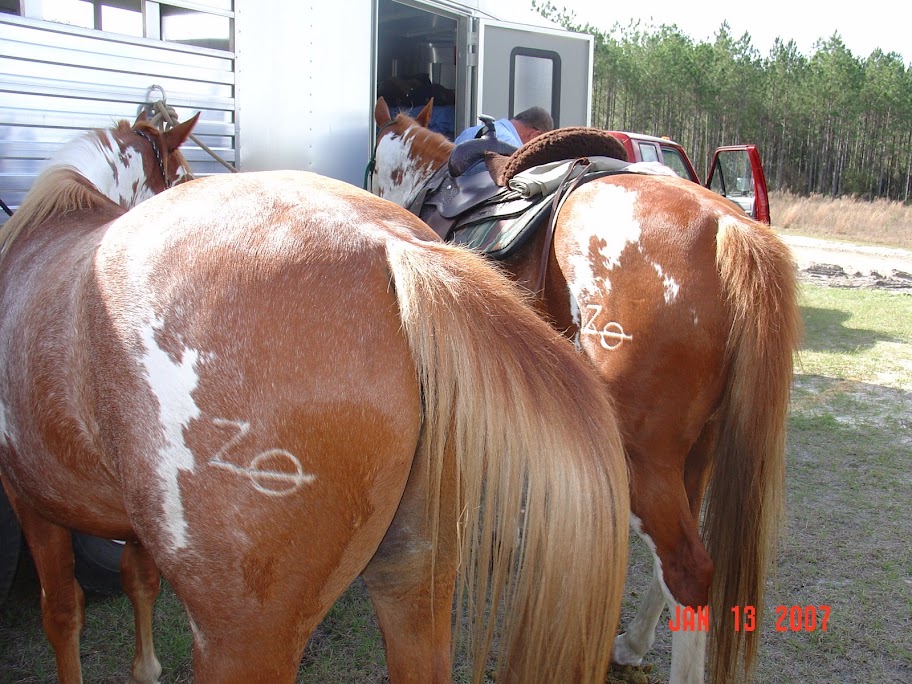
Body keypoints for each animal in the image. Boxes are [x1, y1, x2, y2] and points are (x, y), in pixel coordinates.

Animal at [0, 116, 630, 683]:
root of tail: (392, 246)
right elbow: (137, 578)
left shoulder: (29, 498)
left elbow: (63, 611)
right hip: (416, 579)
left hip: (244, 637)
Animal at [371, 97, 803, 684]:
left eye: (374, 163)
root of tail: (728, 227)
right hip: (699, 450)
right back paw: (633, 642)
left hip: (642, 459)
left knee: (688, 569)